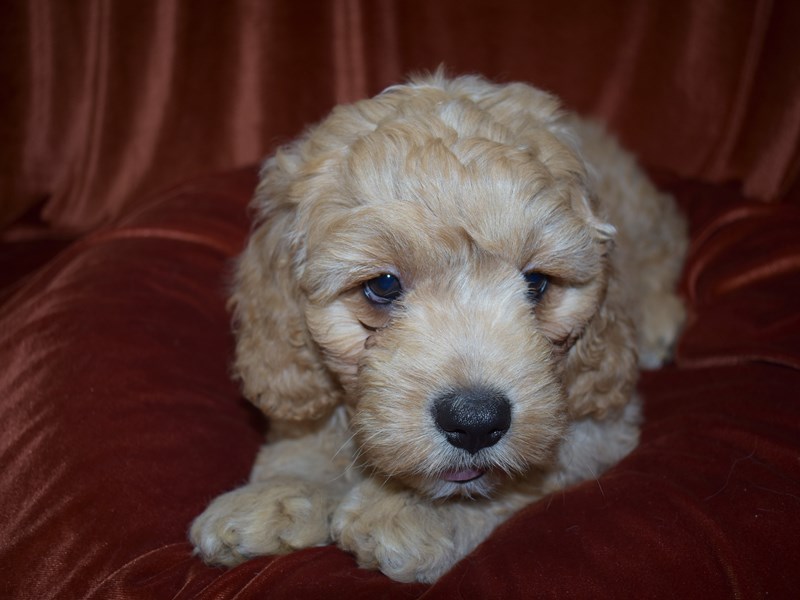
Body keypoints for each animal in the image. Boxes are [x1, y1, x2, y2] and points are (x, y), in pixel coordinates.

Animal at [189, 72, 688, 584]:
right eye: (384, 285)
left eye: (537, 283)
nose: (475, 422)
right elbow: (305, 435)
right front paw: (275, 493)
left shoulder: (600, 426)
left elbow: (521, 473)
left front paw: (408, 514)